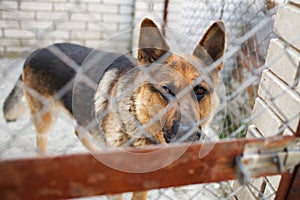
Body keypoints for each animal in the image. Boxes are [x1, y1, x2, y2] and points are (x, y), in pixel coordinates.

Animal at [2, 18, 225, 198]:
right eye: (166, 90)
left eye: (200, 91)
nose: (188, 134)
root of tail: (36, 51)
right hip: (46, 116)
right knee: (41, 143)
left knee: (79, 131)